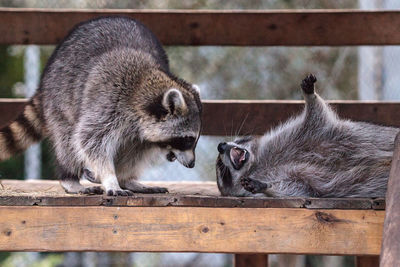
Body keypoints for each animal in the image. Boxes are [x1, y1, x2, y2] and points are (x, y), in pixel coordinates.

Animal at [0, 17, 202, 197]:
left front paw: (121, 176)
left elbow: (136, 150)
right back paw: (70, 178)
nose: (192, 164)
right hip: (59, 97)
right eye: (188, 140)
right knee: (67, 139)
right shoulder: (107, 103)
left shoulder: (141, 132)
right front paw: (110, 178)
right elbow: (89, 140)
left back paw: (128, 179)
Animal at [217, 74, 398, 198]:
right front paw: (266, 187)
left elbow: (315, 115)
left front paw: (310, 96)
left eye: (238, 139)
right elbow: (299, 188)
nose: (220, 145)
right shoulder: (299, 178)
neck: (256, 163)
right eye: (221, 170)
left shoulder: (297, 134)